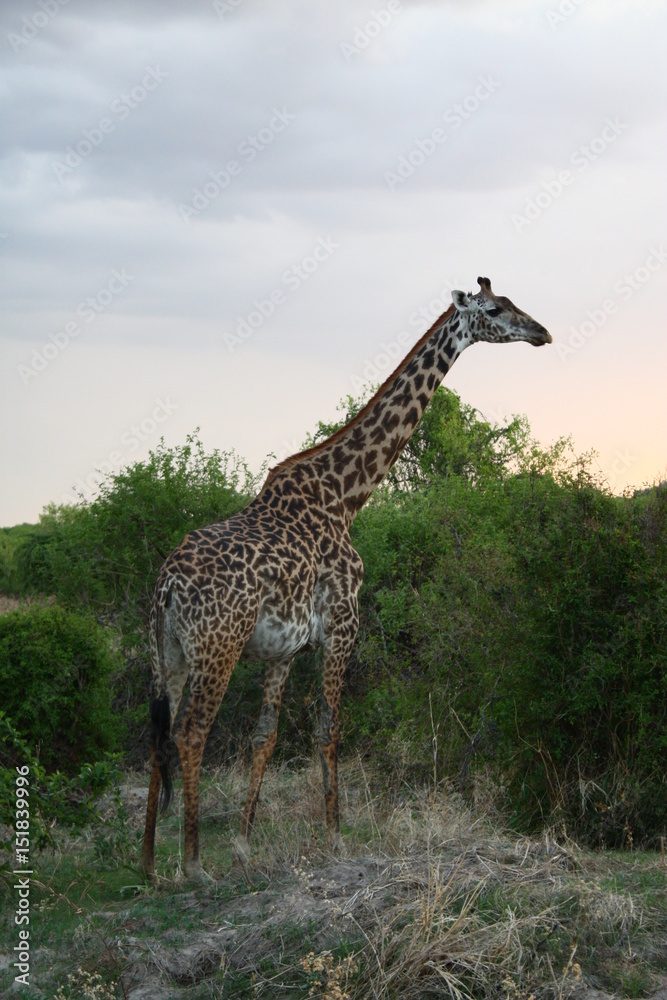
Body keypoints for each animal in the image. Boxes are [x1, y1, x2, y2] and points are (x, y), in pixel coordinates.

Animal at [141, 276, 551, 881]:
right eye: (498, 309)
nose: (542, 332)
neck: (347, 495)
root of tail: (167, 586)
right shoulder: (342, 625)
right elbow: (328, 727)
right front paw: (334, 836)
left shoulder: (285, 648)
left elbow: (265, 737)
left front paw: (243, 845)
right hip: (217, 647)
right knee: (191, 732)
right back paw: (191, 865)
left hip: (164, 652)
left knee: (158, 733)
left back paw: (146, 863)